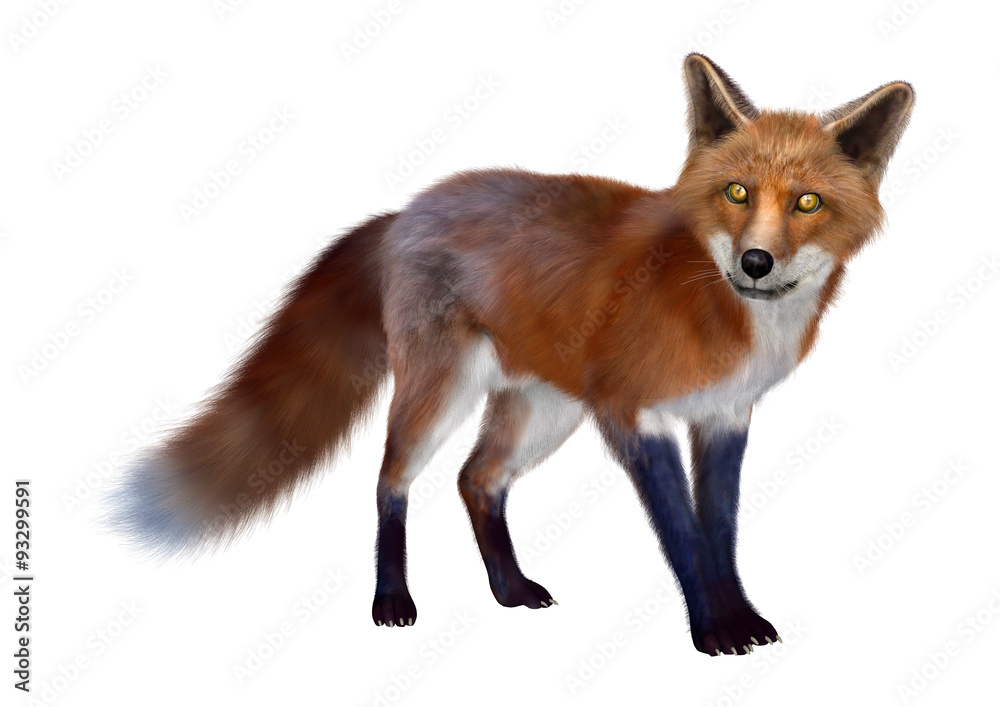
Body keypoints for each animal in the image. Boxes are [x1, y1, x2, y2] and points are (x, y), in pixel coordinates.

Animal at [107, 54, 914, 656]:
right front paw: (712, 630)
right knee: (390, 480)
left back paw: (508, 589)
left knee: (476, 479)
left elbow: (721, 531)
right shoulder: (634, 416)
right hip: (441, 397)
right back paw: (392, 599)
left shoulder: (724, 418)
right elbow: (683, 534)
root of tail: (407, 209)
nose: (754, 262)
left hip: (542, 414)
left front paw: (739, 617)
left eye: (807, 203)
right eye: (737, 192)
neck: (720, 309)